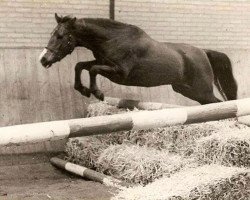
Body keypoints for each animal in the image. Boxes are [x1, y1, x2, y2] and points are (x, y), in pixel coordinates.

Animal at [39, 13, 238, 104]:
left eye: (60, 36)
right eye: (52, 34)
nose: (43, 59)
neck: (113, 39)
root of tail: (203, 52)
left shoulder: (120, 72)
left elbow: (93, 70)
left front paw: (97, 92)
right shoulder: (103, 63)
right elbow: (80, 66)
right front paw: (83, 90)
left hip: (201, 90)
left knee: (219, 104)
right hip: (186, 90)